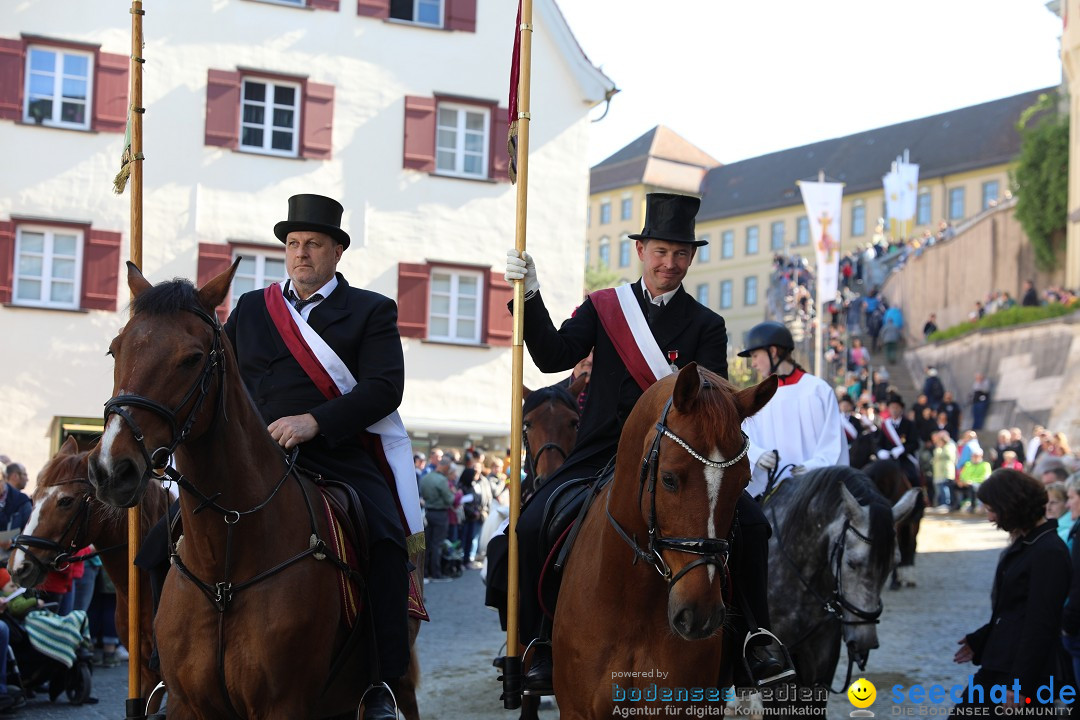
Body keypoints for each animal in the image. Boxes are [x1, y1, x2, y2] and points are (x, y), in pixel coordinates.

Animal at [85, 263, 406, 720]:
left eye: (192, 358)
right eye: (115, 350)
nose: (112, 470)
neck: (226, 564)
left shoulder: (284, 705)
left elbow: (381, 384)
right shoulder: (188, 704)